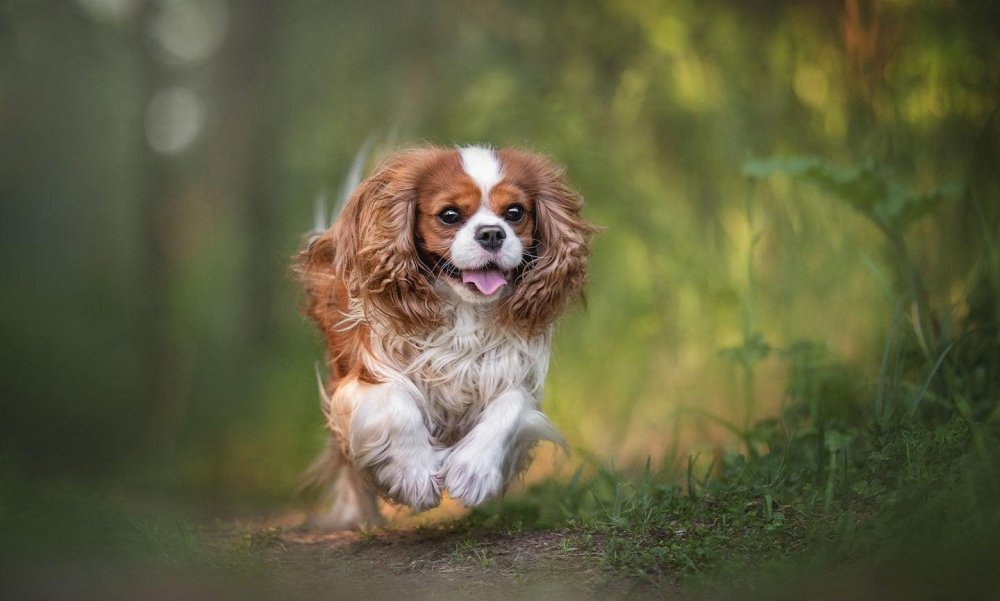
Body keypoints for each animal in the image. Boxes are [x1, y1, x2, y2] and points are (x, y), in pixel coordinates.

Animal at [296, 145, 592, 528]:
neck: (464, 313)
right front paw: (416, 474)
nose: (492, 233)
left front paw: (474, 470)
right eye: (450, 215)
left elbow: (511, 405)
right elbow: (396, 403)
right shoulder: (362, 379)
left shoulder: (514, 374)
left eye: (515, 213)